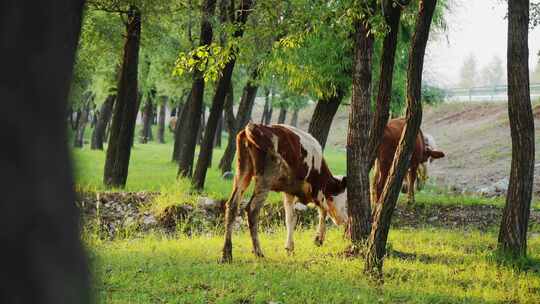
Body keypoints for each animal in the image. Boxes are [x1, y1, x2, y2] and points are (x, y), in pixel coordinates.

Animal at [221, 122, 348, 262]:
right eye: (344, 200)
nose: (345, 220)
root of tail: (255, 126)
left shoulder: (289, 192)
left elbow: (290, 218)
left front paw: (290, 248)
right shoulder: (317, 190)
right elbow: (323, 209)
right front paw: (318, 239)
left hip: (242, 170)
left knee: (232, 205)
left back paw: (227, 254)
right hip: (266, 177)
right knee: (252, 209)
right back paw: (258, 252)